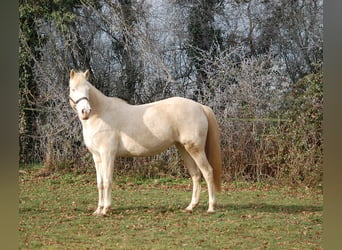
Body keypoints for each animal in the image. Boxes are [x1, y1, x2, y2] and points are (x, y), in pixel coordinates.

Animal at [69, 69, 223, 215]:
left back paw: (211, 207)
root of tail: (200, 107)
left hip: (195, 149)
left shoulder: (108, 154)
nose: (85, 111)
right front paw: (98, 210)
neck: (101, 115)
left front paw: (106, 209)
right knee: (196, 175)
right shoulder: (97, 156)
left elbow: (107, 181)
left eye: (88, 89)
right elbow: (100, 183)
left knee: (208, 172)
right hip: (184, 149)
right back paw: (191, 207)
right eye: (73, 89)